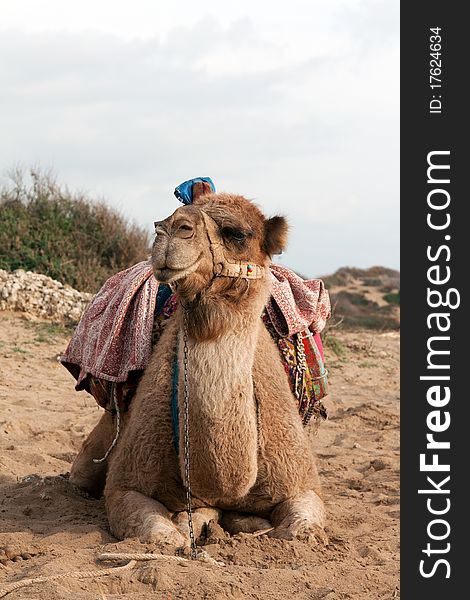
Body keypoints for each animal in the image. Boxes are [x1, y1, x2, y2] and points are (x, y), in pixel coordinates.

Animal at [70, 185, 326, 548]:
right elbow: (164, 537)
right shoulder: (125, 485)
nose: (170, 228)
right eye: (163, 221)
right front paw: (189, 526)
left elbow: (299, 532)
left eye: (236, 233)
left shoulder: (302, 483)